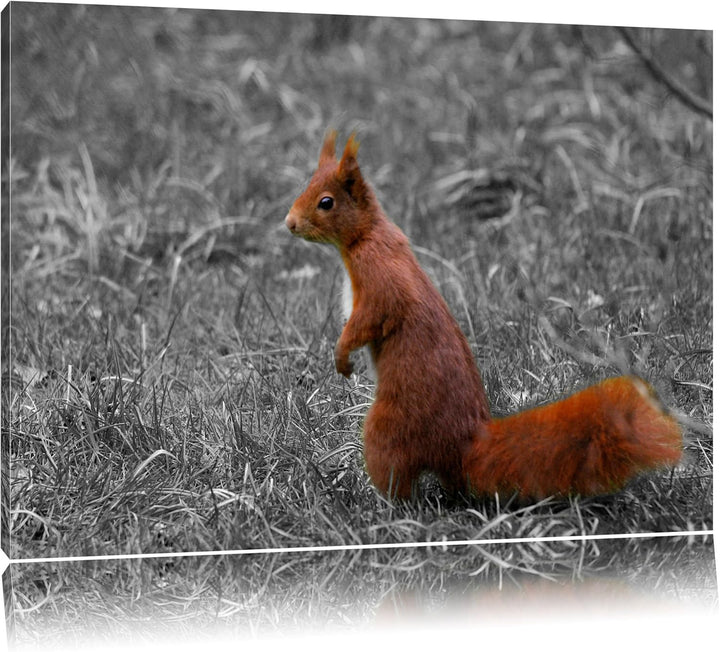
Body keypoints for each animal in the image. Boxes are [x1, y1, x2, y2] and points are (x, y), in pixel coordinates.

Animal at [285, 130, 683, 501]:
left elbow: (369, 319)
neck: (366, 235)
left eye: (326, 202)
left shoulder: (380, 278)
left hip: (389, 429)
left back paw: (383, 505)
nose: (289, 223)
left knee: (398, 478)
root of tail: (464, 444)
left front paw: (341, 356)